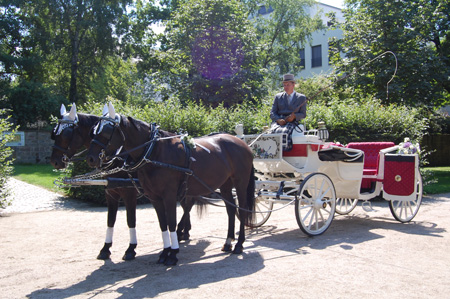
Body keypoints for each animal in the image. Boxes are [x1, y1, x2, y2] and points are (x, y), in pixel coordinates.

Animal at [51, 104, 195, 262]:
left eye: (66, 134)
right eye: (54, 133)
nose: (55, 161)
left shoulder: (129, 194)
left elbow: (130, 220)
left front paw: (131, 249)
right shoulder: (110, 193)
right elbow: (110, 220)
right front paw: (105, 248)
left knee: (187, 207)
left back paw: (181, 231)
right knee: (187, 207)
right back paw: (184, 232)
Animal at [86, 103, 255, 268]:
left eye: (106, 131)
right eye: (93, 131)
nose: (91, 158)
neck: (155, 152)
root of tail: (242, 143)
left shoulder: (168, 195)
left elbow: (171, 223)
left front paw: (173, 254)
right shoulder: (154, 197)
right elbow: (163, 224)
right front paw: (165, 252)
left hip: (240, 183)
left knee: (242, 209)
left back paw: (239, 244)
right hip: (225, 185)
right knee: (231, 209)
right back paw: (228, 242)